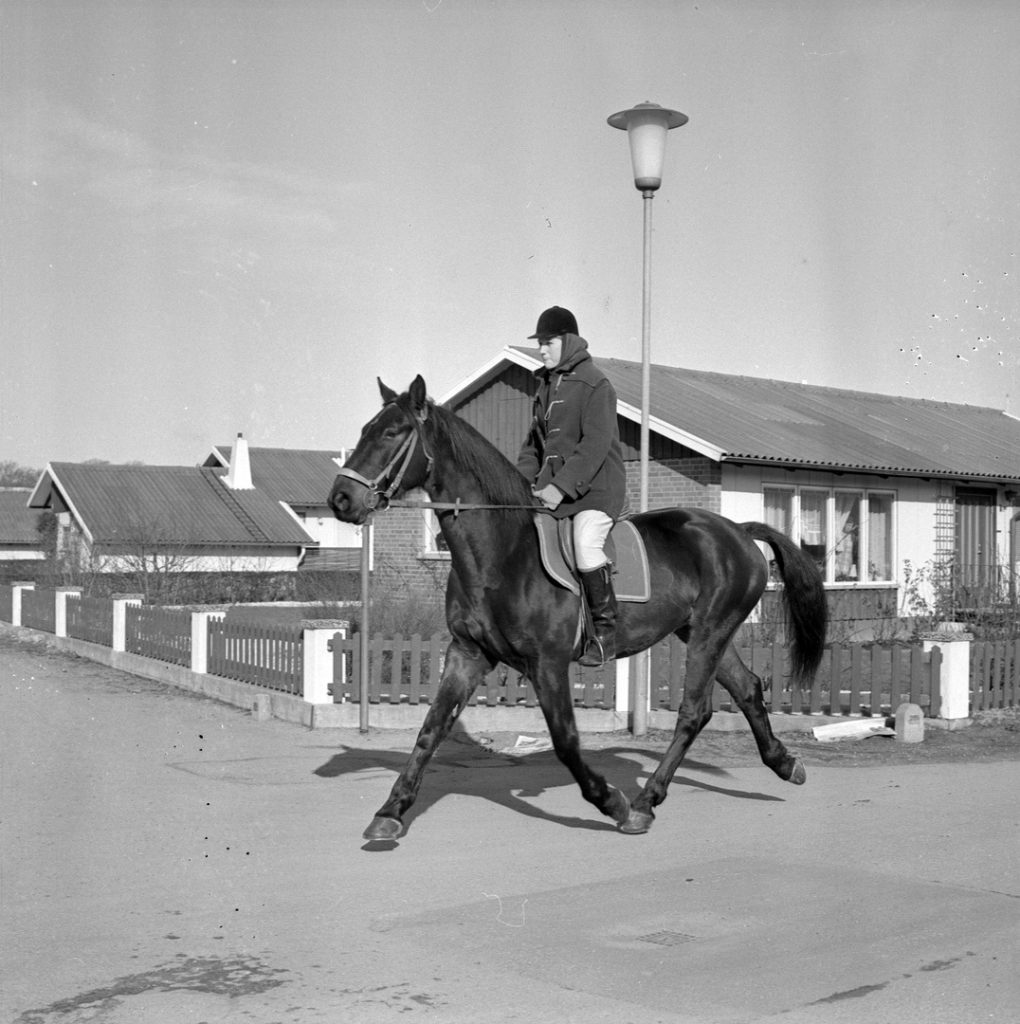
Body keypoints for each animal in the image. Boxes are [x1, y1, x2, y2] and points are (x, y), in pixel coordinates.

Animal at [329, 376, 827, 840]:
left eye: (392, 433)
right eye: (365, 430)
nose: (340, 500)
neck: (503, 554)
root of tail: (739, 530)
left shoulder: (547, 663)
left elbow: (566, 742)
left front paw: (614, 804)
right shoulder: (467, 655)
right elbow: (430, 729)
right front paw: (391, 811)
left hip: (711, 631)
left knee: (693, 711)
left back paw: (646, 800)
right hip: (702, 633)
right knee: (746, 689)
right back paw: (785, 764)